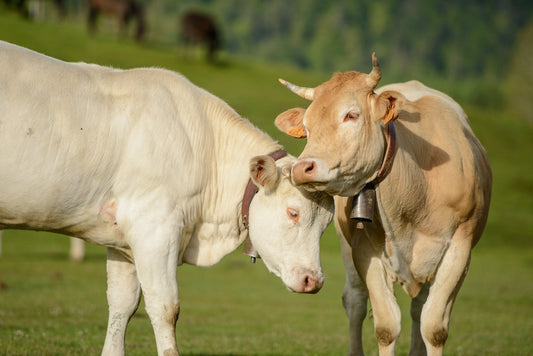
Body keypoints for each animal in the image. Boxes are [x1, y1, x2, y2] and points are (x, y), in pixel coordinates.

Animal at [0, 40, 332, 354]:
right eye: (293, 212)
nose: (314, 281)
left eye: (326, 226)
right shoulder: (154, 229)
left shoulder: (122, 240)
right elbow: (166, 308)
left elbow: (121, 305)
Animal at [274, 53, 490, 356]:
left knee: (418, 308)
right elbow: (387, 327)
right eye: (306, 126)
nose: (302, 168)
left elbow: (434, 328)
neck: (413, 195)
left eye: (351, 115)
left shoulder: (460, 250)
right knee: (355, 301)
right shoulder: (365, 251)